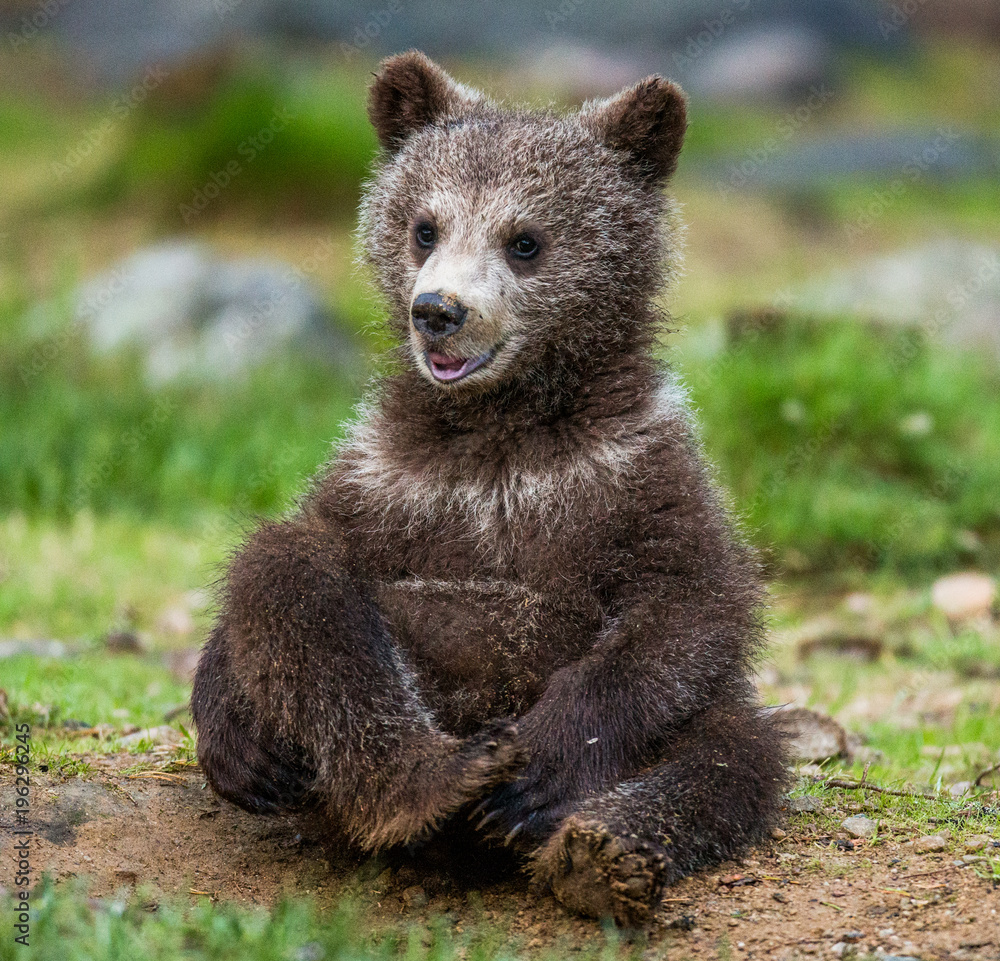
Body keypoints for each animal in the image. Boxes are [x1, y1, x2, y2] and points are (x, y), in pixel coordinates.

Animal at [191, 50, 788, 927]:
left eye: (525, 240)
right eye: (424, 226)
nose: (438, 310)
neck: (499, 429)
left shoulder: (634, 470)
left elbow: (686, 608)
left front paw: (538, 773)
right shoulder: (391, 475)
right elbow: (309, 543)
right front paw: (233, 735)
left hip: (688, 722)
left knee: (731, 752)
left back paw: (593, 848)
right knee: (287, 571)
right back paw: (436, 778)